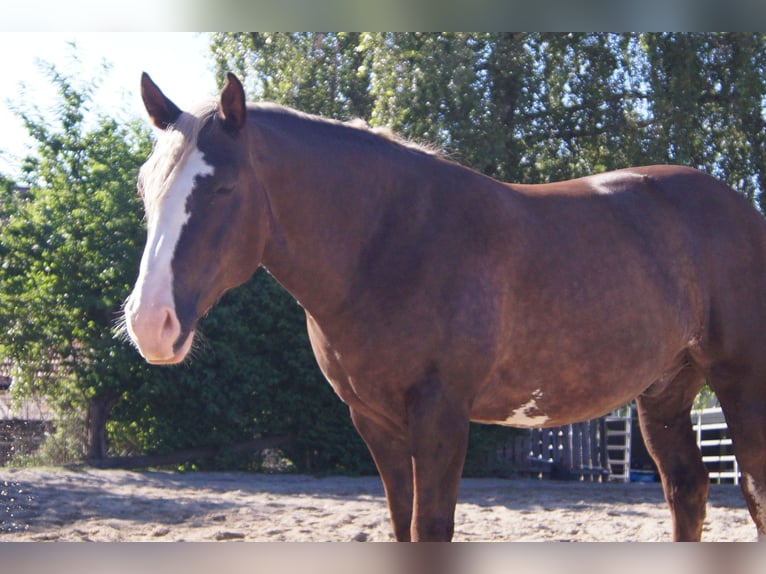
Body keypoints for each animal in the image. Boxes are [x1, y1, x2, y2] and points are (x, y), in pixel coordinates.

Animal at [123, 72, 766, 542]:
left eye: (223, 188)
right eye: (144, 183)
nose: (150, 323)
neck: (390, 241)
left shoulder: (441, 414)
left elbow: (431, 529)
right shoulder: (375, 421)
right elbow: (401, 526)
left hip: (740, 382)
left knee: (753, 491)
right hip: (665, 391)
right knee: (688, 489)